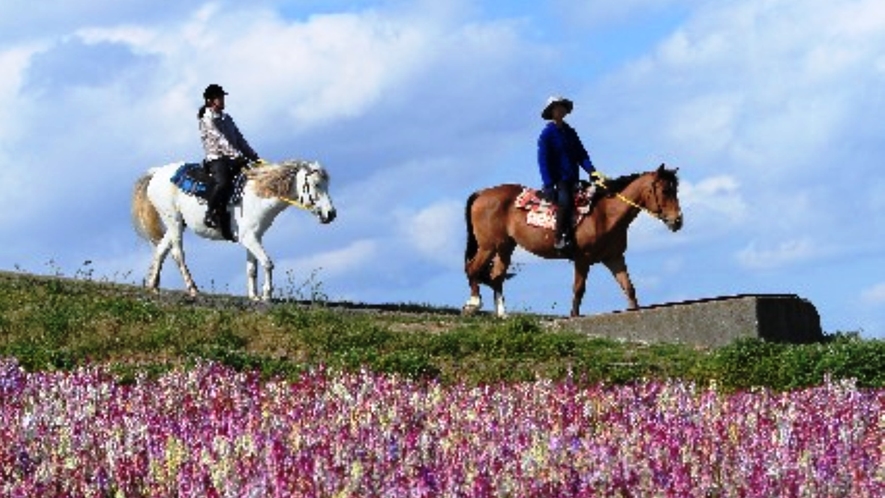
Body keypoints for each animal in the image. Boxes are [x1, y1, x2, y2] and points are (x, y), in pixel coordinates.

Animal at [130, 160, 334, 300]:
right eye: (316, 185)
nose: (331, 214)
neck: (258, 196)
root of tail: (157, 172)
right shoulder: (249, 238)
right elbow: (267, 263)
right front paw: (267, 294)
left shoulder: (254, 237)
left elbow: (252, 268)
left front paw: (254, 296)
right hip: (174, 220)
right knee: (177, 253)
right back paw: (192, 288)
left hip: (176, 223)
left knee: (161, 249)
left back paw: (153, 285)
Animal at [462, 165, 684, 318]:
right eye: (665, 191)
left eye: (675, 189)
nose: (677, 221)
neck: (605, 214)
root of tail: (482, 193)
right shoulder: (582, 259)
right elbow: (579, 289)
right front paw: (574, 316)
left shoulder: (614, 258)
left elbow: (628, 287)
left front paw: (635, 311)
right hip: (488, 246)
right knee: (473, 268)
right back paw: (473, 304)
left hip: (504, 247)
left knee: (496, 276)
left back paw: (502, 314)